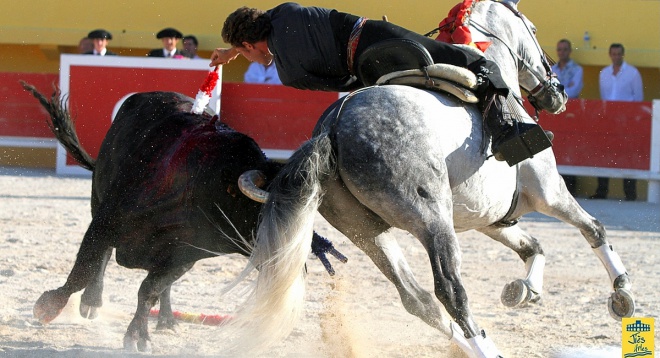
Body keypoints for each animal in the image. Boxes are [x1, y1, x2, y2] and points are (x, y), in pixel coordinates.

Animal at [21, 84, 346, 352]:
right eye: (268, 216)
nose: (294, 267)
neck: (202, 185)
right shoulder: (107, 219)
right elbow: (85, 266)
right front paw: (49, 306)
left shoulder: (185, 256)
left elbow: (150, 289)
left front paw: (138, 336)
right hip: (96, 198)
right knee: (100, 259)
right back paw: (92, 301)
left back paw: (166, 319)